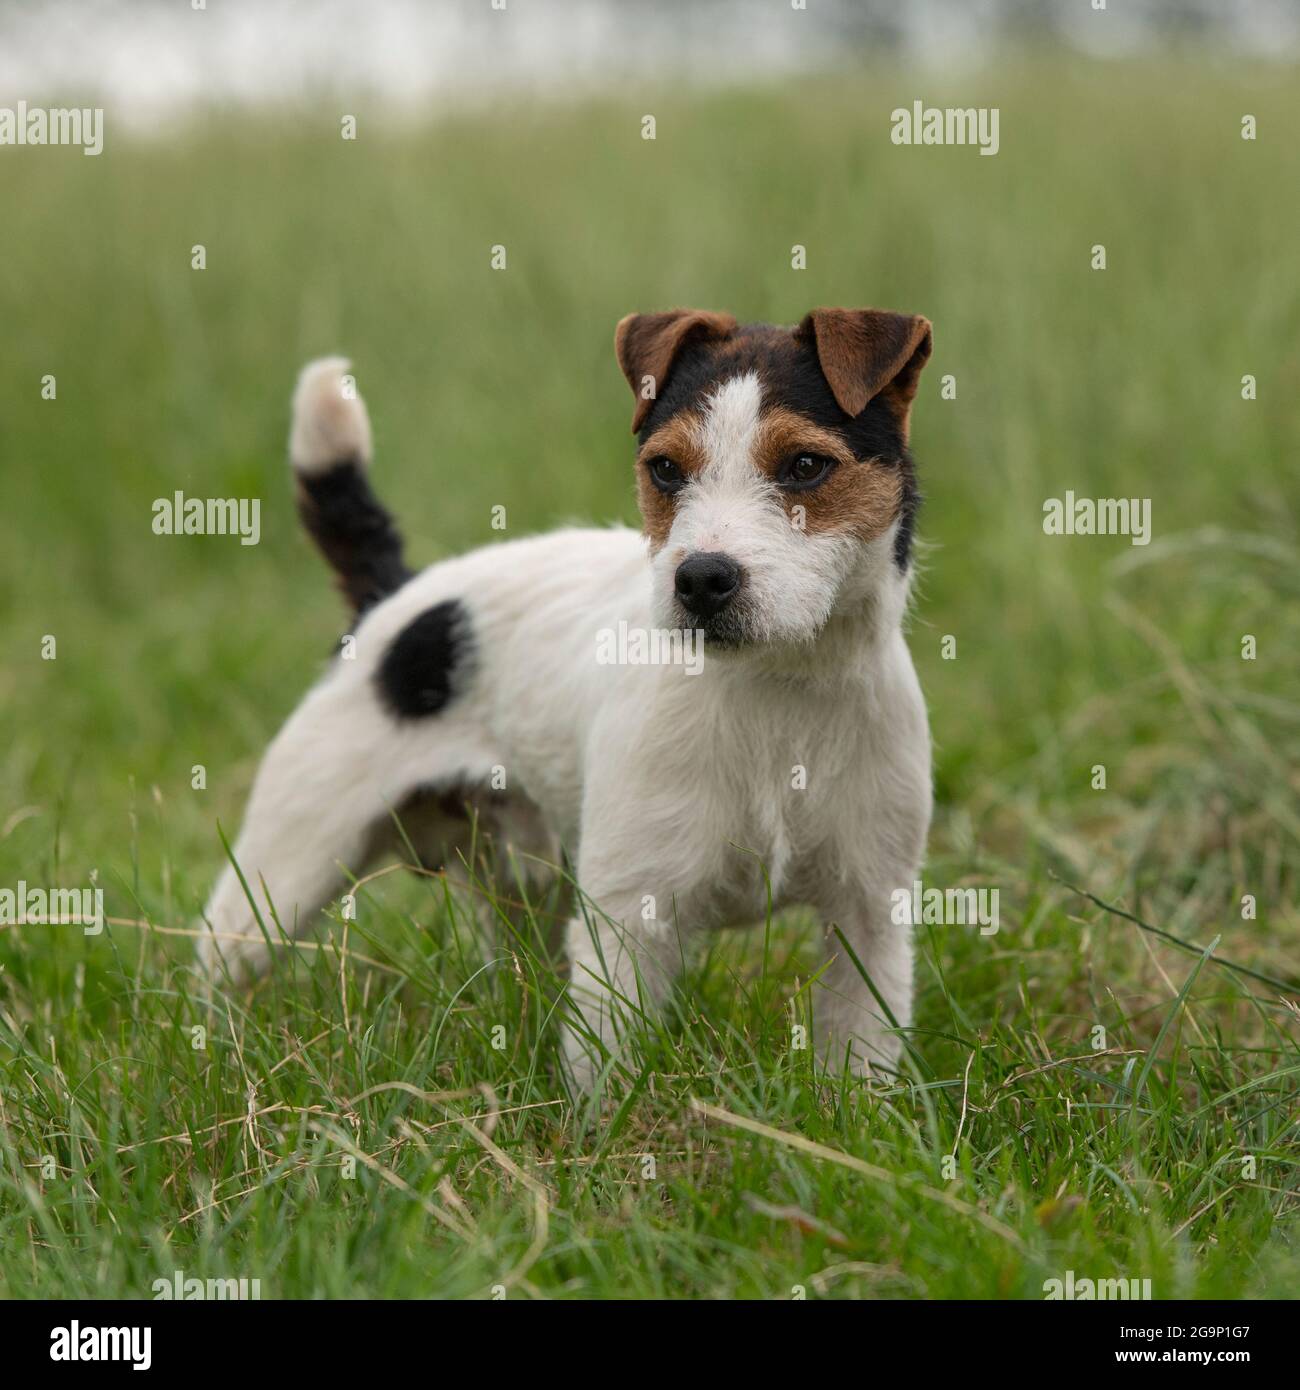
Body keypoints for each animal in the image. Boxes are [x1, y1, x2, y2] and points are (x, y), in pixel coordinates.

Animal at [198, 309, 934, 1089]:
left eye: (805, 465)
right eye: (665, 469)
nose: (701, 580)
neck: (774, 688)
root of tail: (395, 594)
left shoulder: (870, 916)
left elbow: (861, 1052)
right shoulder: (627, 920)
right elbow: (607, 1066)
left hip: (522, 887)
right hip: (284, 872)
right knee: (219, 965)